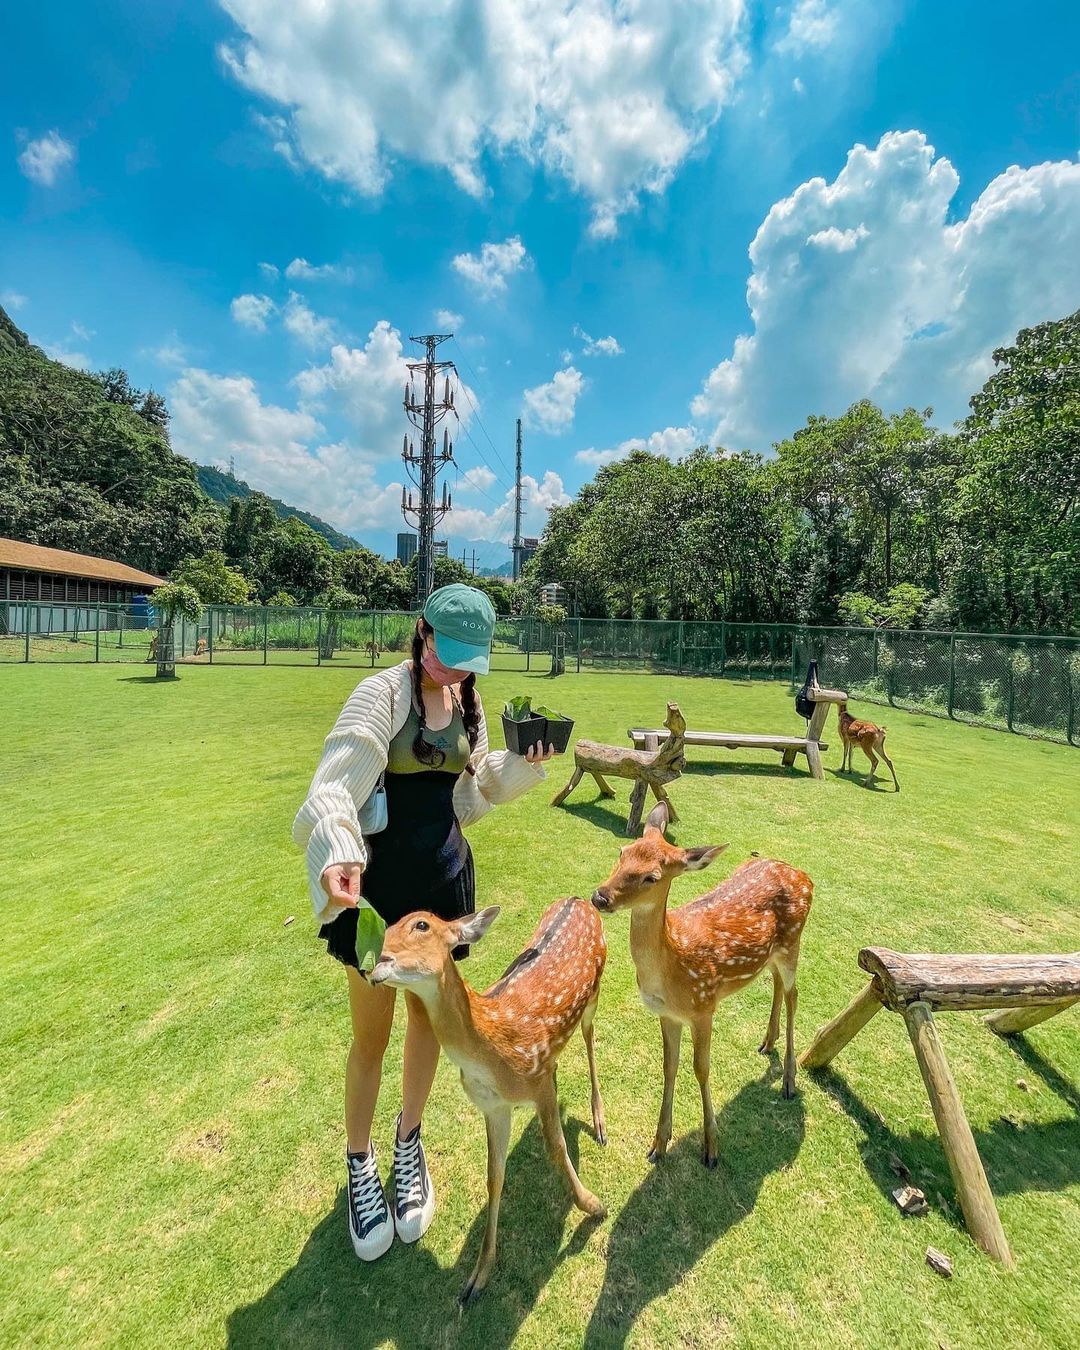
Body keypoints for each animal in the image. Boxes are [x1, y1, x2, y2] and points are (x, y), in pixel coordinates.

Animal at [372, 901, 607, 1301]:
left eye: (422, 925)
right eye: (386, 925)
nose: (375, 962)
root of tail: (579, 900)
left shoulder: (537, 1082)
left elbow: (557, 1146)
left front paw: (593, 1206)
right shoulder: (493, 1106)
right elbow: (494, 1175)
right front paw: (478, 1277)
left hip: (594, 993)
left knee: (590, 1037)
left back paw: (599, 1120)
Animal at [591, 804, 810, 1166]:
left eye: (652, 877)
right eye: (622, 852)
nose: (600, 897)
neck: (672, 966)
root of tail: (805, 876)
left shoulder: (704, 1005)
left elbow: (701, 1069)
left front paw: (711, 1147)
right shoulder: (667, 1014)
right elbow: (669, 1066)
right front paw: (658, 1144)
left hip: (794, 942)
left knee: (794, 995)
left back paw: (790, 1081)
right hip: (774, 954)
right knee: (778, 983)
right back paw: (767, 1042)